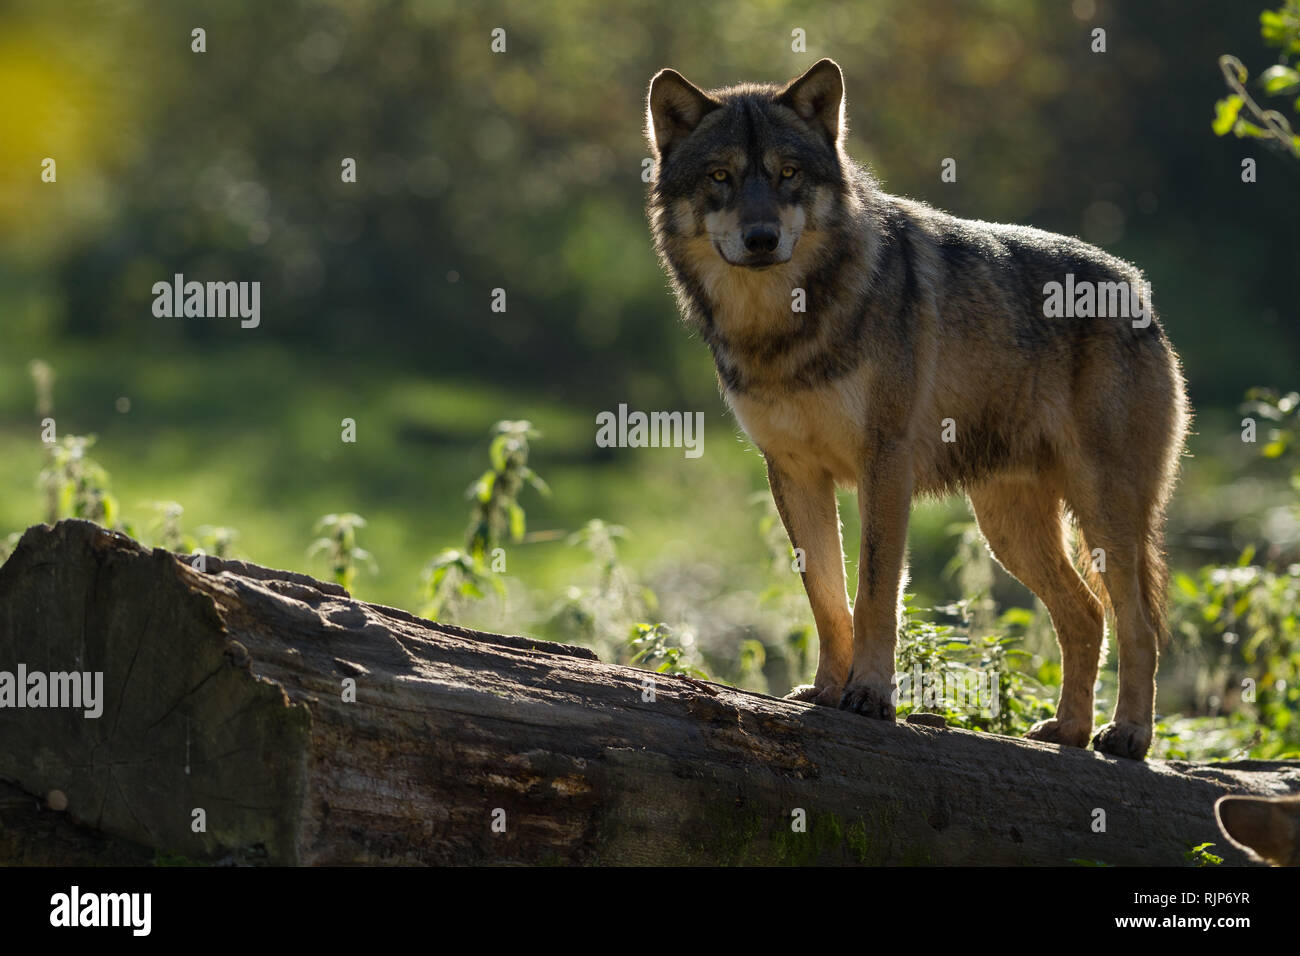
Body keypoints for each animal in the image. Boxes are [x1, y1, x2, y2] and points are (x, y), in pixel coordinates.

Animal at [645, 58, 1189, 759]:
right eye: (721, 177)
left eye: (788, 173)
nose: (761, 238)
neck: (784, 329)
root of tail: (1135, 286)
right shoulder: (794, 473)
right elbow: (827, 596)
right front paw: (828, 690)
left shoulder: (886, 464)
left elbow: (875, 593)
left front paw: (871, 696)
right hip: (1008, 529)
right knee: (1086, 615)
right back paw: (1067, 731)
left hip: (1102, 513)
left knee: (1138, 624)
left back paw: (1127, 735)